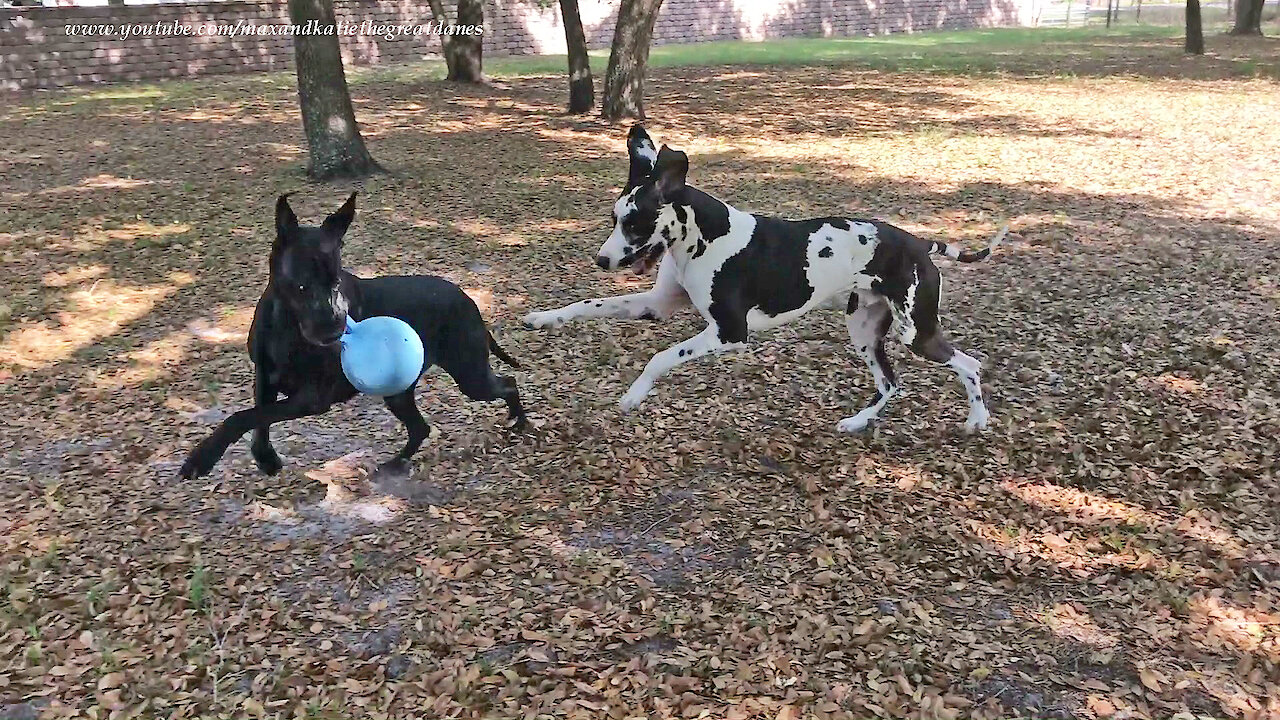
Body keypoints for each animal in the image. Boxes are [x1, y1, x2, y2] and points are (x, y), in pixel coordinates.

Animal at [177, 193, 527, 479]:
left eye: (336, 282)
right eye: (303, 285)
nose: (335, 332)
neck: (286, 325)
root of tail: (468, 300)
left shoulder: (312, 397)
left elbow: (243, 417)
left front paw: (201, 458)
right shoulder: (265, 376)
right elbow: (256, 419)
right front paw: (265, 458)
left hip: (469, 375)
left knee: (508, 384)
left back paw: (519, 422)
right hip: (399, 391)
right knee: (420, 428)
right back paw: (395, 463)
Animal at [524, 124, 1003, 430]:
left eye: (635, 223)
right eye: (614, 219)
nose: (601, 260)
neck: (706, 238)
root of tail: (919, 242)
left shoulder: (728, 332)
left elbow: (661, 358)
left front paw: (634, 395)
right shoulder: (655, 306)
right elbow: (588, 305)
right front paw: (544, 318)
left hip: (915, 333)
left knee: (969, 365)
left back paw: (977, 419)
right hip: (864, 331)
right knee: (891, 384)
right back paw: (857, 422)